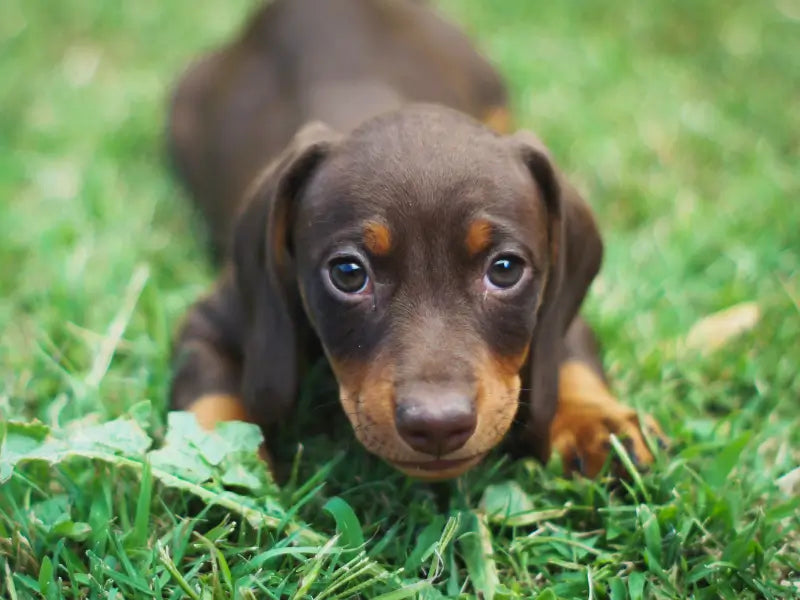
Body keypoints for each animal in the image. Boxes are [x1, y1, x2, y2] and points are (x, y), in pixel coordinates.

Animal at [166, 0, 660, 480]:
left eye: (505, 269)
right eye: (348, 274)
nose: (438, 425)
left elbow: (569, 355)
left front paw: (595, 423)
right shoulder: (212, 322)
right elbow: (207, 404)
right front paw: (206, 467)